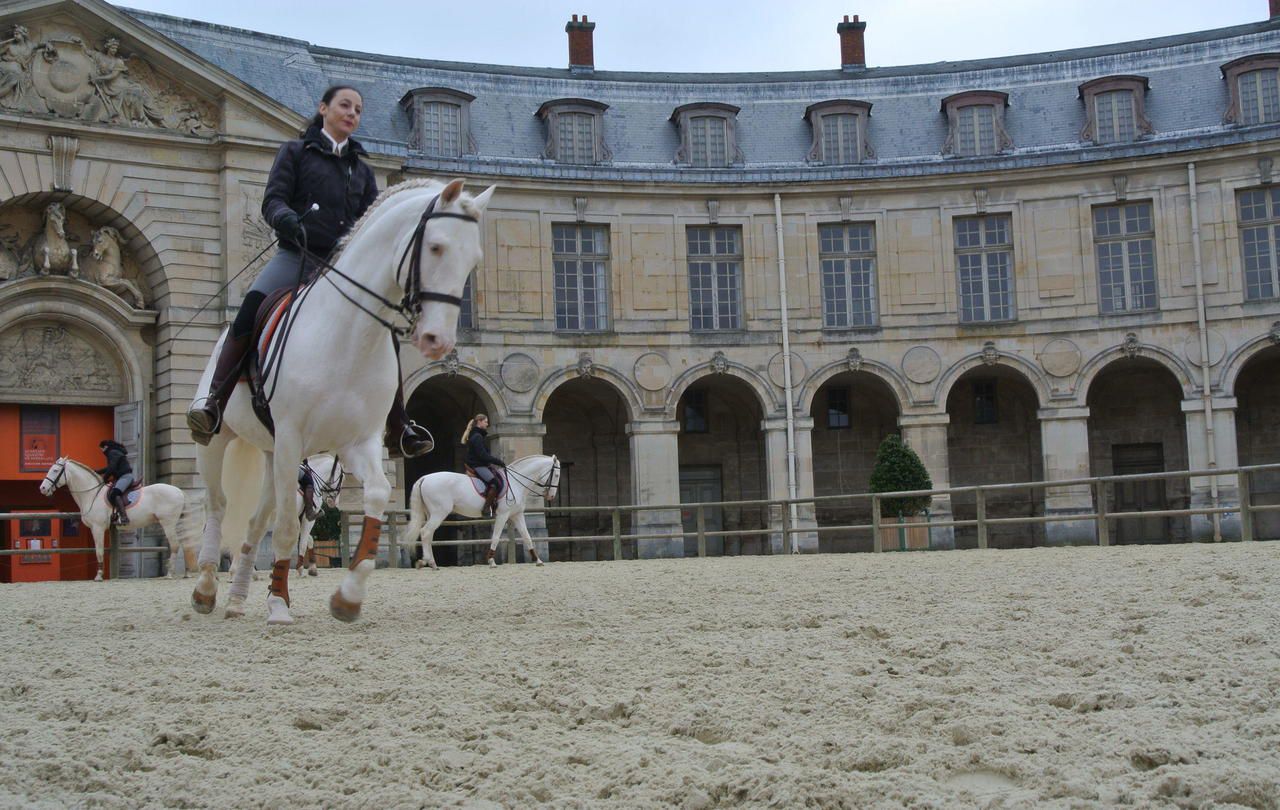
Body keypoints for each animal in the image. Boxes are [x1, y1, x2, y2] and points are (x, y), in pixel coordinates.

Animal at [38, 455, 192, 580]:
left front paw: (99, 576)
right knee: (185, 544)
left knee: (175, 544)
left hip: (168, 523)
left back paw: (170, 573)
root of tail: (179, 492)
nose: (43, 489)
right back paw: (186, 572)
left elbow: (99, 551)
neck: (92, 494)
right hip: (178, 523)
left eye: (55, 471)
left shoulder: (98, 528)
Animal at [190, 177, 494, 624]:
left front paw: (348, 596)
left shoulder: (358, 442)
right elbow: (287, 528)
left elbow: (376, 498)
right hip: (219, 440)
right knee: (218, 505)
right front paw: (279, 603)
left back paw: (238, 599)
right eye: (436, 246)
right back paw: (207, 589)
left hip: (271, 453)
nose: (438, 340)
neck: (350, 336)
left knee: (254, 521)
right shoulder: (293, 439)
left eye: (474, 259)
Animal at [399, 455, 560, 568]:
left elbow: (527, 536)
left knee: (428, 534)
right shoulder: (503, 515)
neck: (515, 483)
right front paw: (491, 561)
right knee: (426, 532)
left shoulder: (517, 515)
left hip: (431, 513)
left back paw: (429, 562)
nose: (551, 496)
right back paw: (430, 563)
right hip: (439, 513)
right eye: (557, 475)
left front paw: (538, 560)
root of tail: (425, 478)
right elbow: (496, 537)